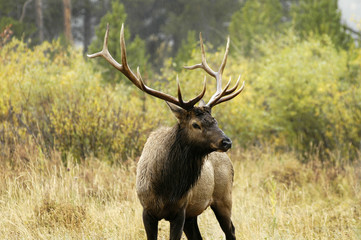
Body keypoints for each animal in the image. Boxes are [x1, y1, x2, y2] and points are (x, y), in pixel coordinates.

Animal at [87, 24, 245, 240]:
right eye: (196, 124)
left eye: (215, 120)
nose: (226, 142)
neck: (165, 188)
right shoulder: (147, 211)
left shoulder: (179, 211)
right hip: (194, 213)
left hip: (223, 197)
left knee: (231, 230)